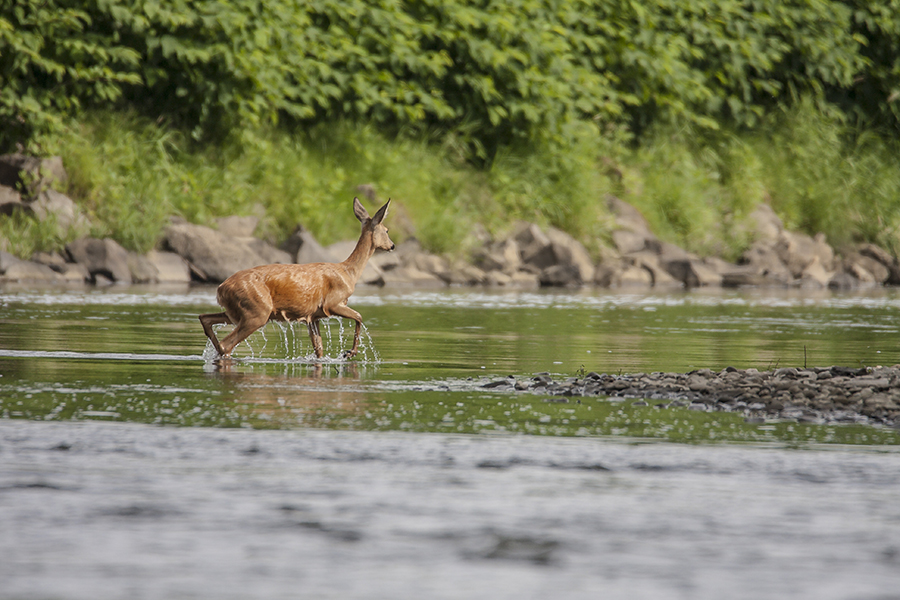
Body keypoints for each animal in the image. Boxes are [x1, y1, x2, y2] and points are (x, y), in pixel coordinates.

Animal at [200, 197, 394, 358]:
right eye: (386, 230)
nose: (392, 246)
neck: (349, 272)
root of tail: (221, 288)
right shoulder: (332, 303)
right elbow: (359, 316)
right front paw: (350, 352)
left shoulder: (313, 316)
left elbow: (319, 350)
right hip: (257, 311)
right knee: (226, 344)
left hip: (236, 312)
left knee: (205, 319)